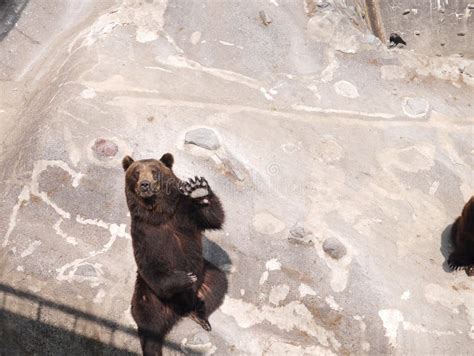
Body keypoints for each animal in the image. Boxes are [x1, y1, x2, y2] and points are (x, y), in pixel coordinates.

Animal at [123, 154, 229, 356]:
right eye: (136, 173)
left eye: (154, 171)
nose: (145, 185)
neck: (159, 213)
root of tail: (178, 310)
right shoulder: (143, 233)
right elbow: (149, 263)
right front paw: (185, 277)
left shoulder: (184, 213)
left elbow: (212, 217)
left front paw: (198, 188)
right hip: (149, 293)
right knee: (147, 318)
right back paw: (152, 348)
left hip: (205, 276)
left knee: (217, 284)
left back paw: (200, 315)